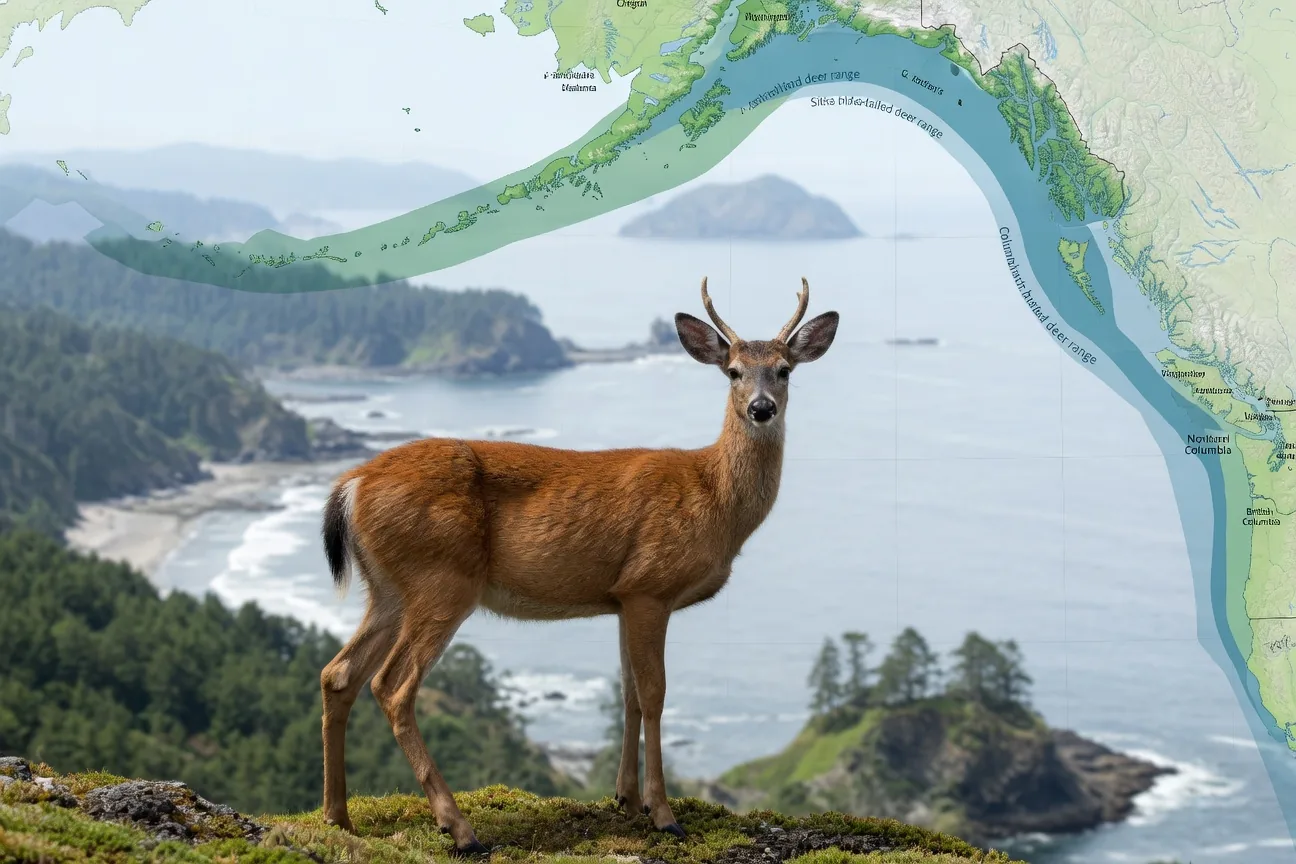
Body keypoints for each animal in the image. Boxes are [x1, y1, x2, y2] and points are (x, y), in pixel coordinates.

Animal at [318, 277, 839, 854]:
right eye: (733, 371)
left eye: (784, 369)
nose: (761, 408)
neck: (712, 497)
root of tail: (353, 484)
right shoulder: (650, 586)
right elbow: (654, 694)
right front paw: (664, 814)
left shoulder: (621, 597)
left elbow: (628, 694)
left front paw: (626, 799)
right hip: (442, 578)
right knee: (391, 686)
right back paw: (458, 827)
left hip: (389, 587)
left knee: (338, 673)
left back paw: (339, 818)